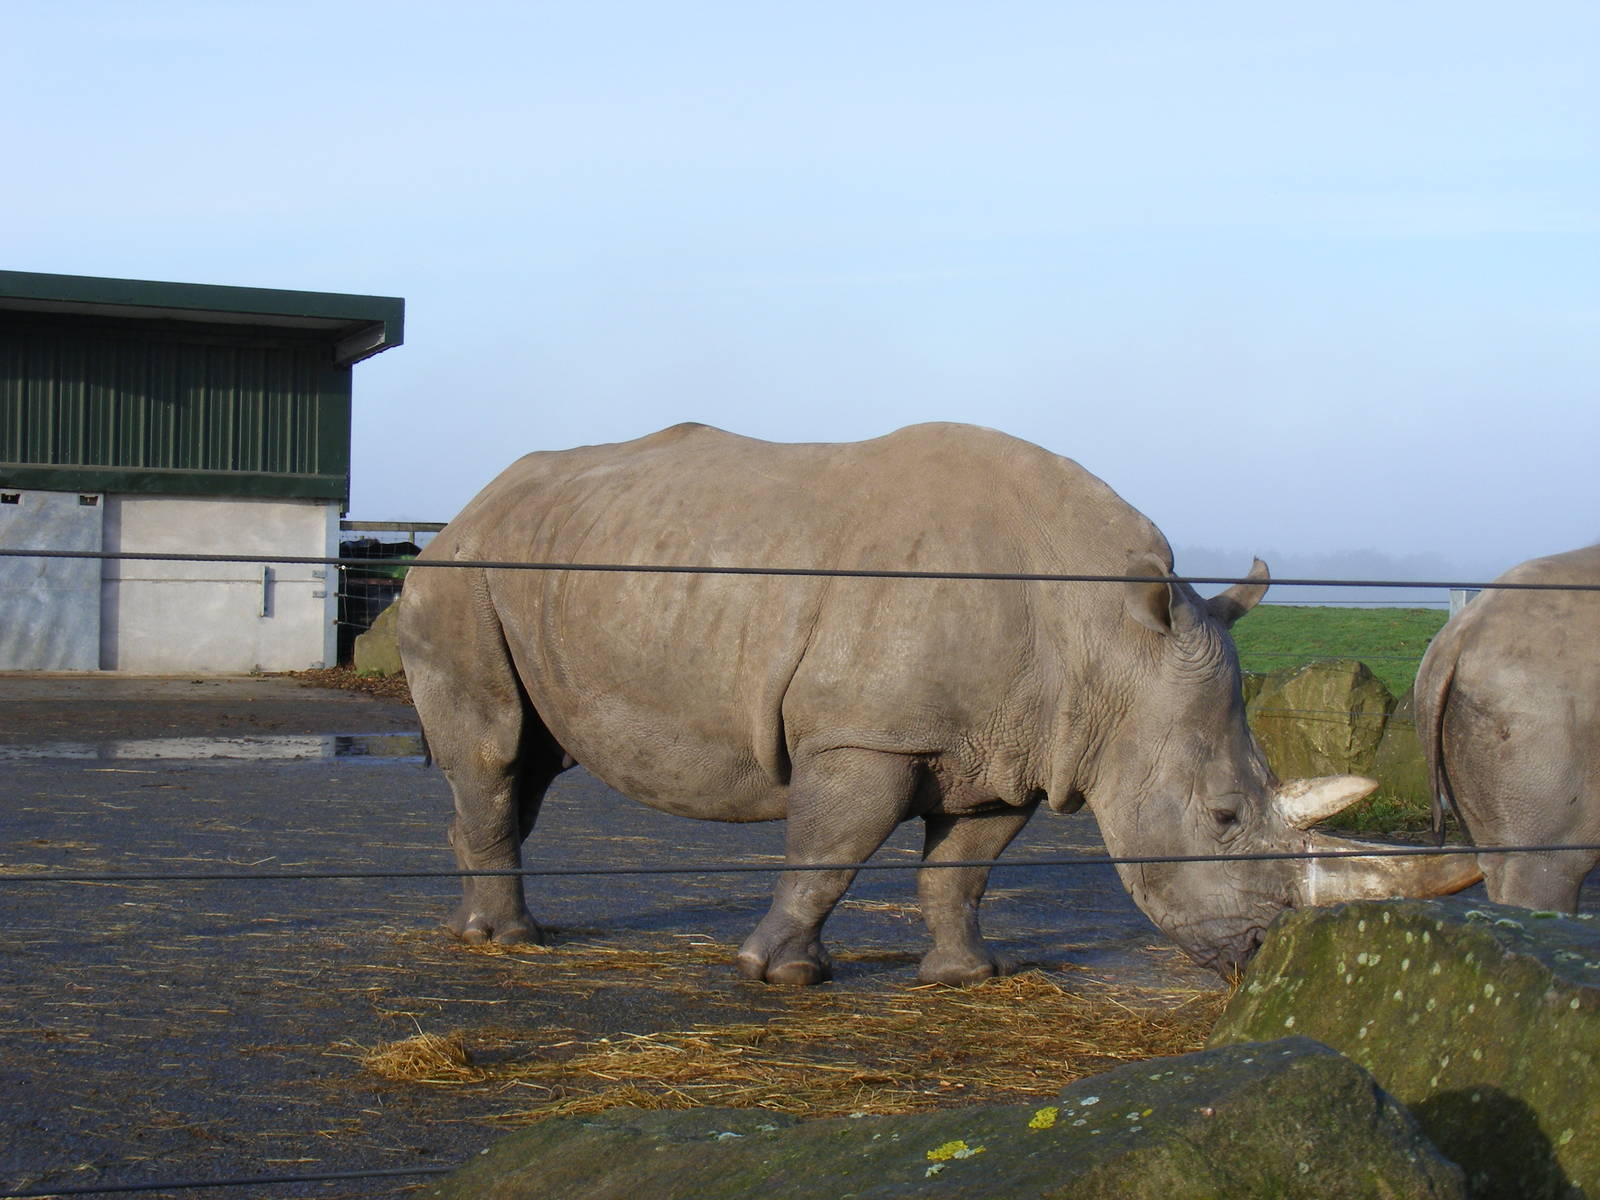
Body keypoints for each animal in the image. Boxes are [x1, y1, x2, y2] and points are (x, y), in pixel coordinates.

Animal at [399, 423, 1477, 983]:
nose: (1255, 951)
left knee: (530, 760)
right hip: (460, 578)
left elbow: (961, 869)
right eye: (1218, 819)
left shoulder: (1011, 747)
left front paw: (967, 976)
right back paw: (513, 943)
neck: (1112, 642)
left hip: (534, 568)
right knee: (497, 752)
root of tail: (464, 511)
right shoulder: (867, 736)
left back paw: (483, 928)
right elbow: (829, 852)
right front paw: (778, 974)